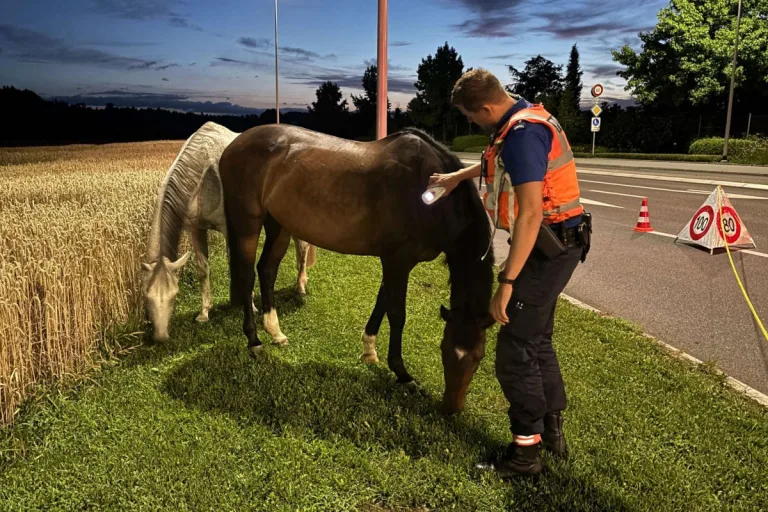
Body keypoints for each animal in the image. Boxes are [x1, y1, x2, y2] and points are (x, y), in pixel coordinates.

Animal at [141, 121, 317, 342]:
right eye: (147, 297)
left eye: (174, 295)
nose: (161, 337)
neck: (203, 177)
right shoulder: (195, 229)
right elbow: (203, 269)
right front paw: (204, 313)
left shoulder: (230, 228)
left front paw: (250, 306)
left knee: (302, 250)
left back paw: (300, 287)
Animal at [218, 123, 495, 414]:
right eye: (444, 350)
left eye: (479, 357)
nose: (451, 408)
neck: (430, 190)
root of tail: (235, 144)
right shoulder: (398, 261)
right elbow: (397, 314)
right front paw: (403, 374)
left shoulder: (395, 261)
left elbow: (383, 302)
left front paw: (369, 350)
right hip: (248, 223)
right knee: (247, 275)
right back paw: (254, 341)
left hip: (279, 224)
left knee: (266, 270)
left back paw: (275, 332)